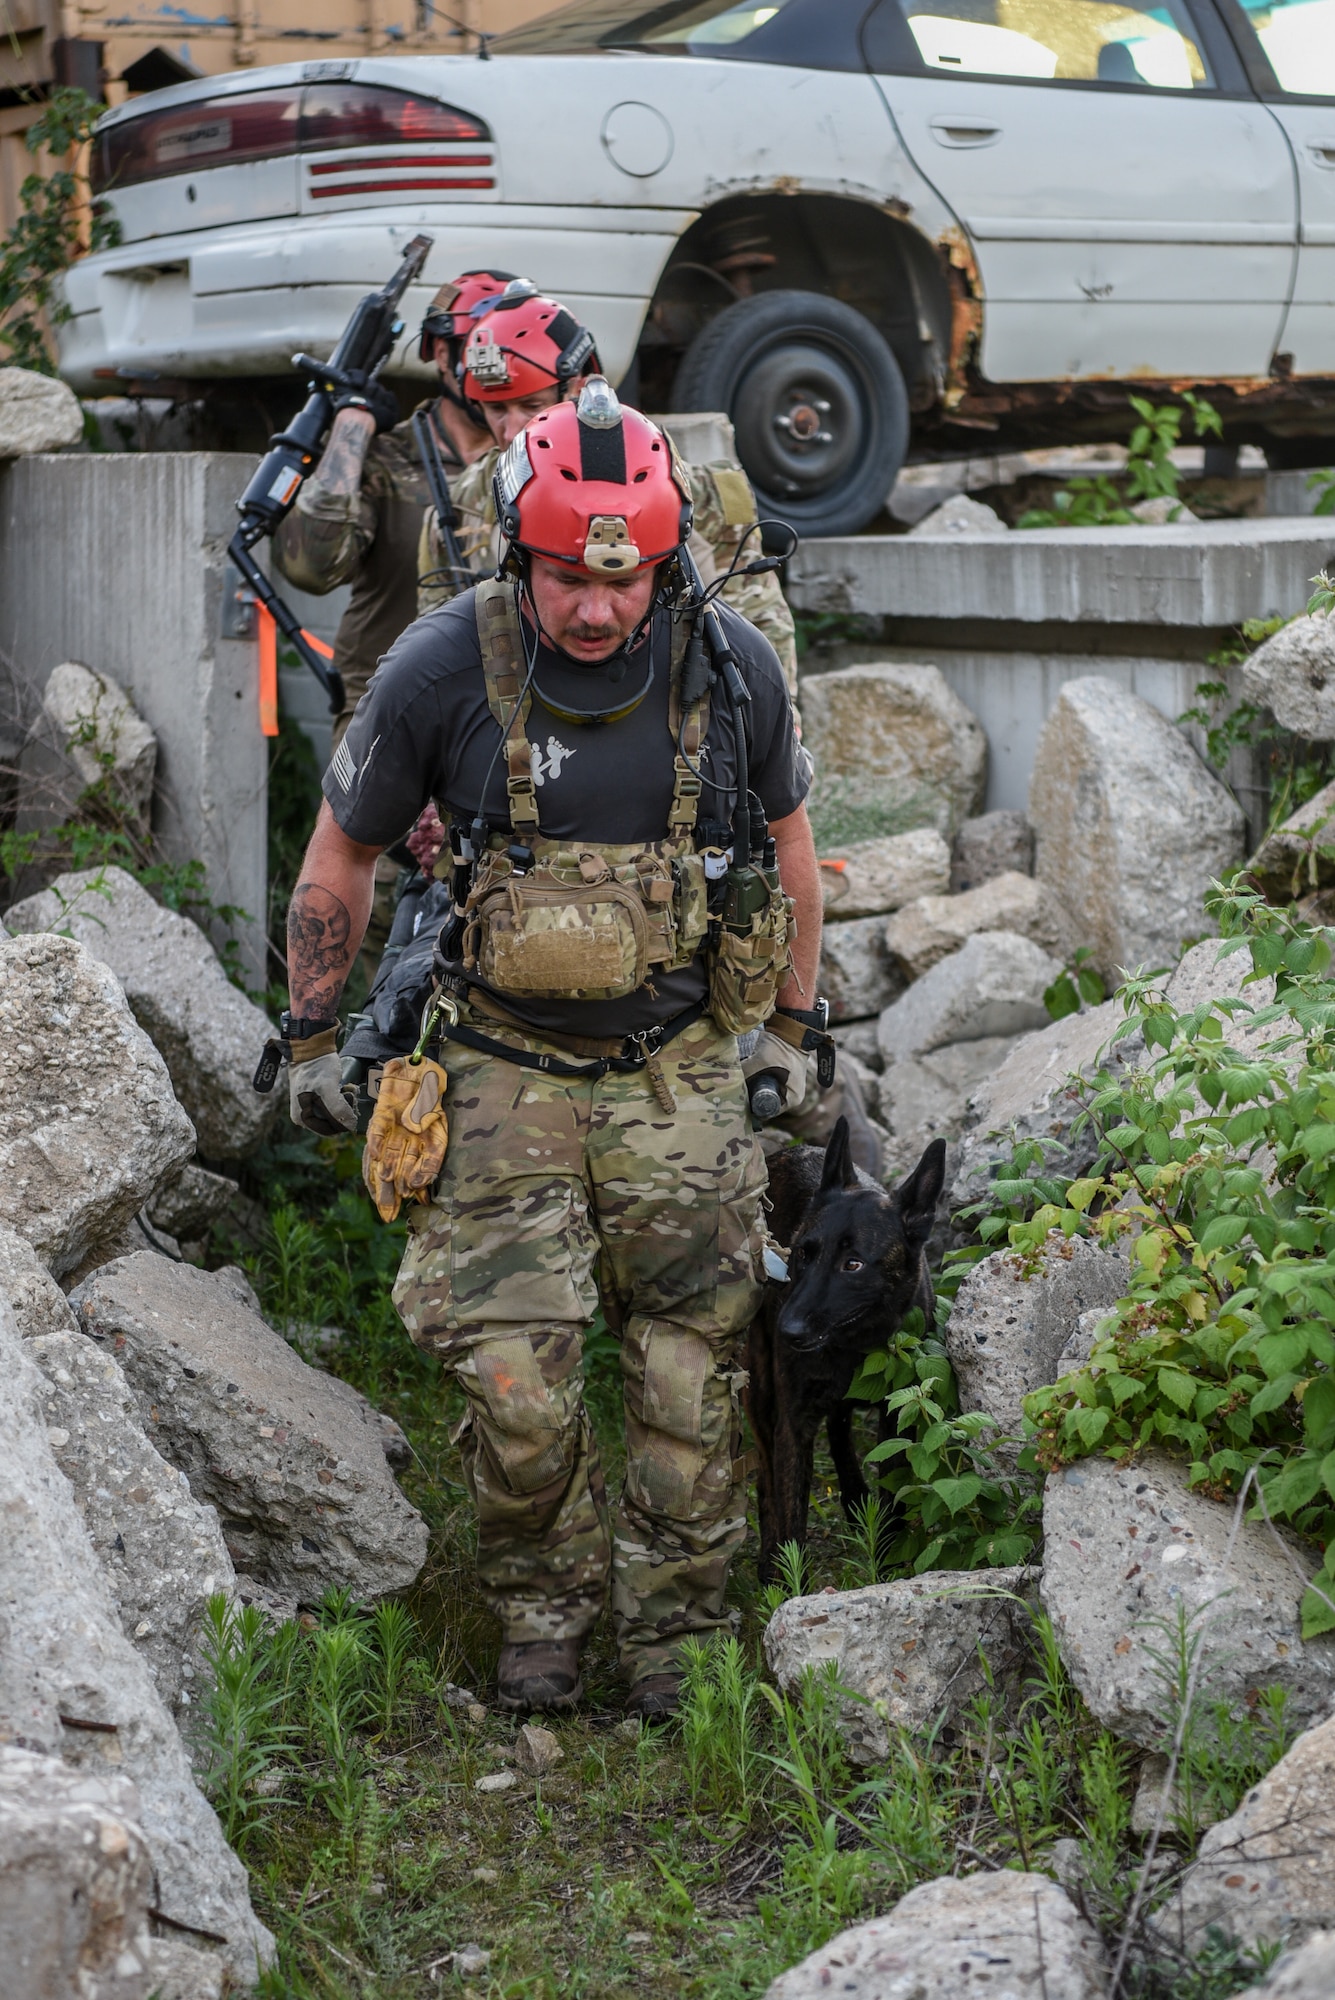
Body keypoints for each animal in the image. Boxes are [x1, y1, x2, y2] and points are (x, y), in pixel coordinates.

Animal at [747, 1120, 943, 1584]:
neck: (854, 1344)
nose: (786, 1330)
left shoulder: (898, 1415)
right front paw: (791, 1586)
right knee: (765, 1472)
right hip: (760, 1394)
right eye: (802, 1252)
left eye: (853, 1264)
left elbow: (892, 1488)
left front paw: (886, 1559)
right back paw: (767, 1559)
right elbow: (791, 1516)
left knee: (838, 1426)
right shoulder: (794, 1422)